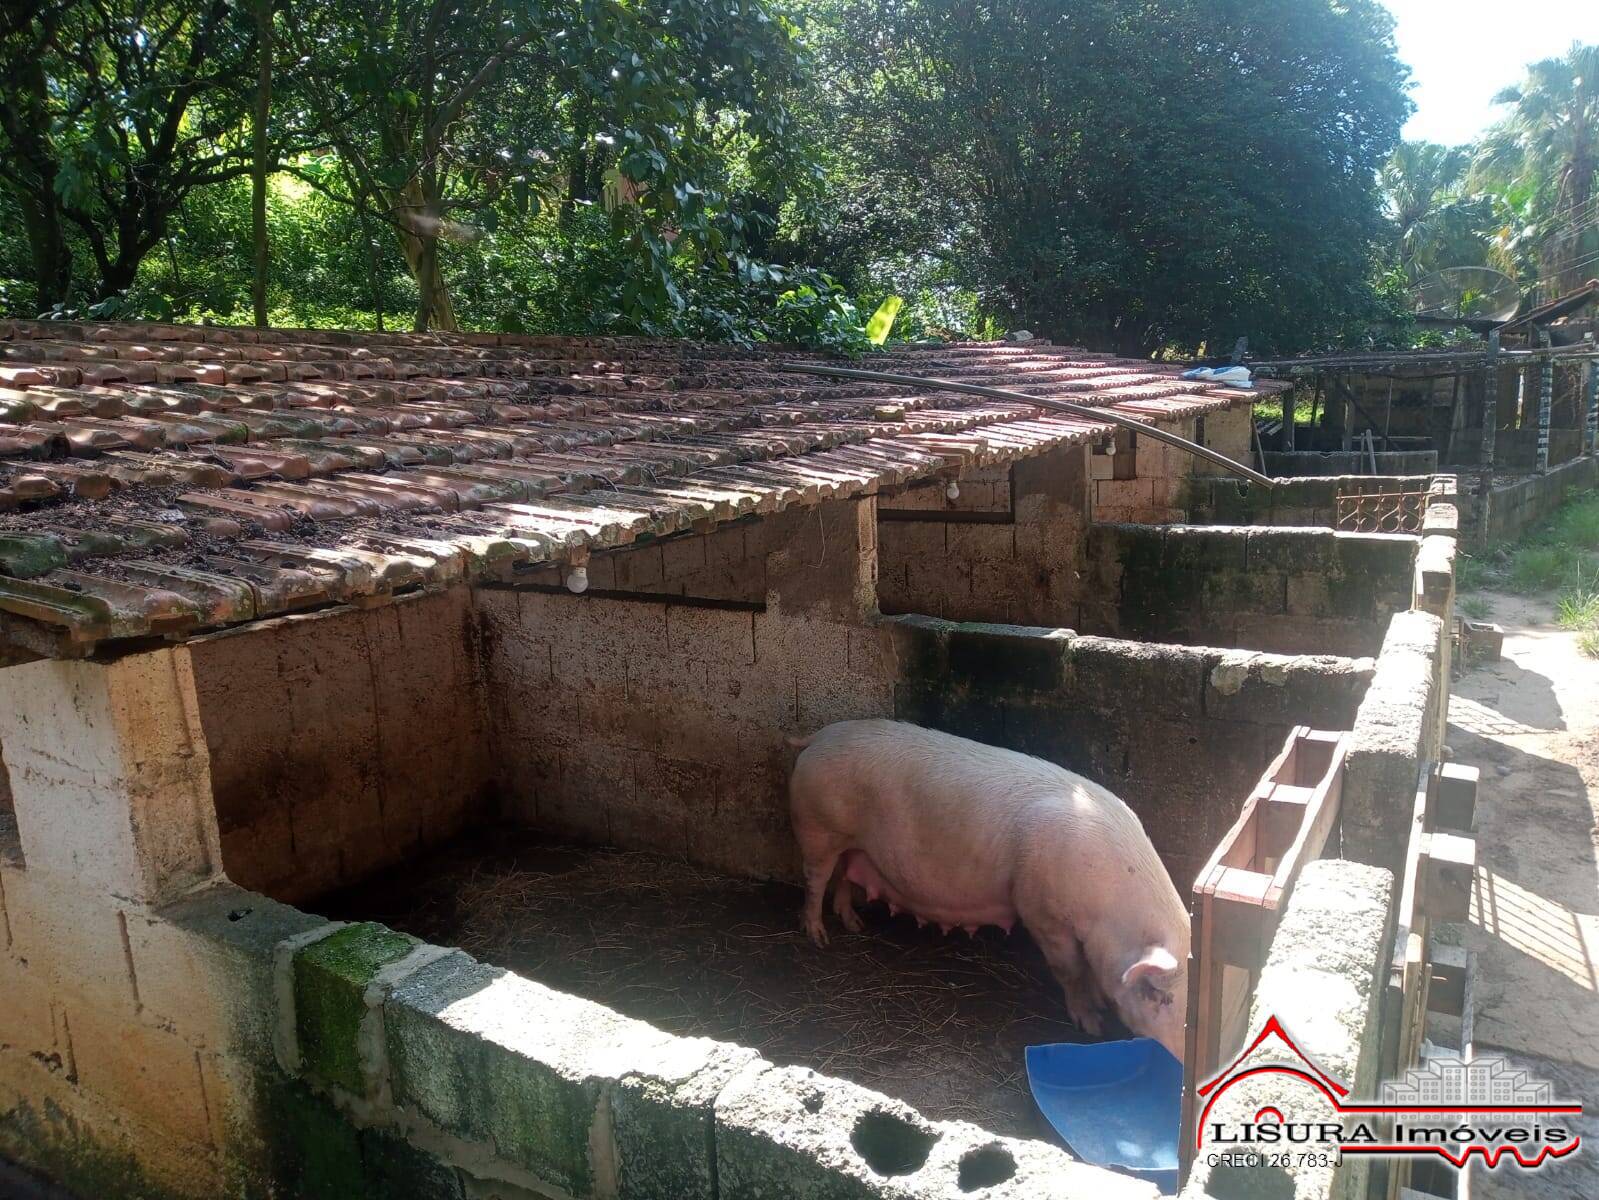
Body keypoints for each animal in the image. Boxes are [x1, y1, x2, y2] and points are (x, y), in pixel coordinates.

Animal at [786, 720, 1189, 1056]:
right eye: (1161, 996)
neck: (1108, 915)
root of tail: (818, 737)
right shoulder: (1042, 912)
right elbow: (1070, 970)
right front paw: (1091, 1026)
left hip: (849, 841)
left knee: (843, 874)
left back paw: (855, 924)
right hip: (817, 827)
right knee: (816, 879)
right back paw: (818, 937)